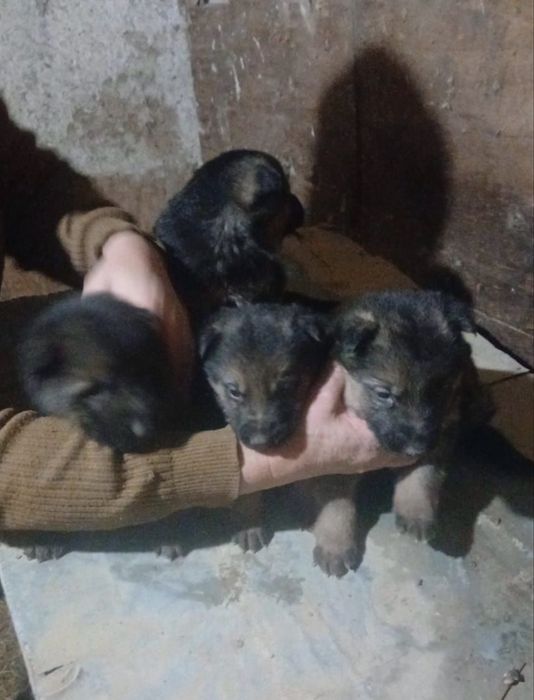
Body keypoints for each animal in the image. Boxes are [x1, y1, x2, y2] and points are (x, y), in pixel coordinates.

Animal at [305, 289, 493, 577]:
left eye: (440, 389)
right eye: (384, 394)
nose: (417, 447)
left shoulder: (443, 431)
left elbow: (423, 474)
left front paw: (416, 511)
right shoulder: (335, 454)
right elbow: (336, 502)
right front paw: (335, 545)